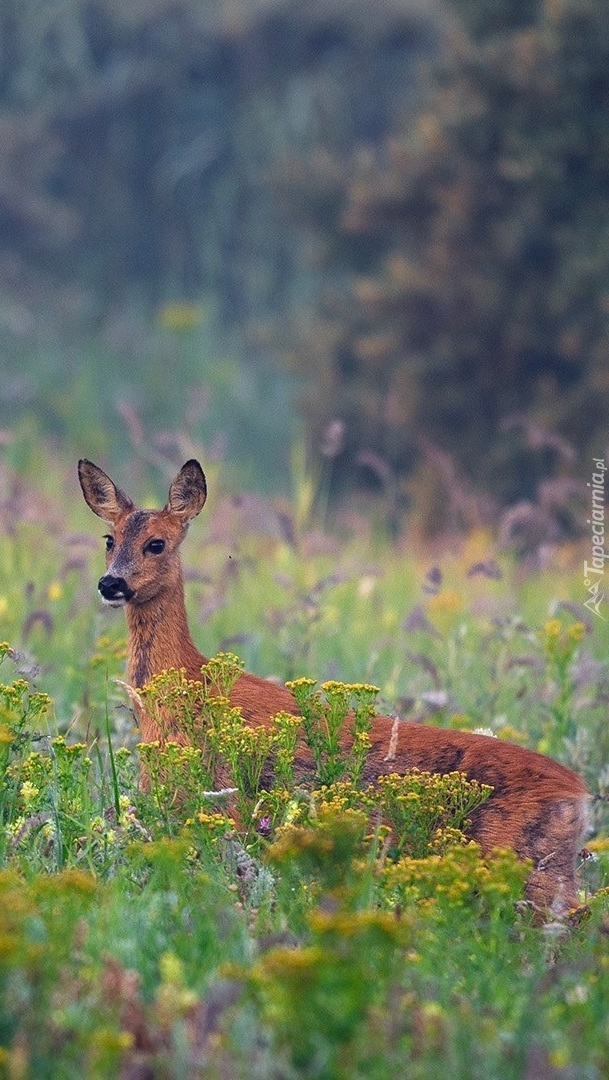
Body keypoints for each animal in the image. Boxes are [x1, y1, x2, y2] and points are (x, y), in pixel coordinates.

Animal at [78, 460, 587, 915]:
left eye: (157, 543)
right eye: (109, 539)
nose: (110, 583)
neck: (183, 686)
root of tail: (579, 795)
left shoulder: (223, 804)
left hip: (524, 864)